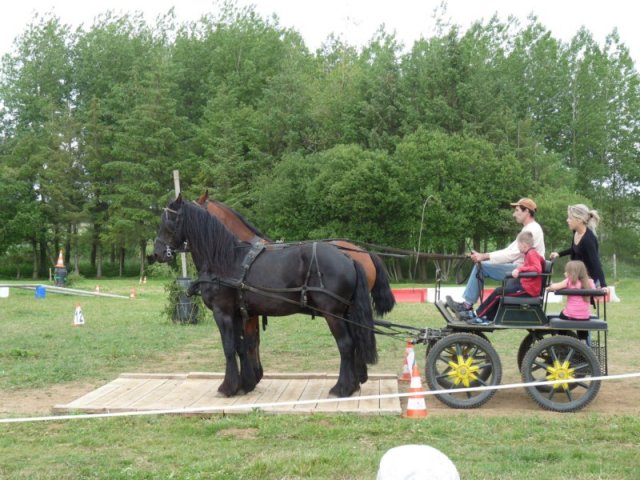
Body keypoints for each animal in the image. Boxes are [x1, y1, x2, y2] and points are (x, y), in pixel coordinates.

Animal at [154, 194, 378, 398]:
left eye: (168, 220)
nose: (156, 252)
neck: (225, 259)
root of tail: (349, 257)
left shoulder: (223, 312)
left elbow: (229, 348)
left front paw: (228, 387)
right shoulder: (239, 313)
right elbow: (242, 346)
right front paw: (245, 384)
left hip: (333, 313)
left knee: (346, 345)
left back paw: (342, 388)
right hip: (344, 312)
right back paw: (353, 384)